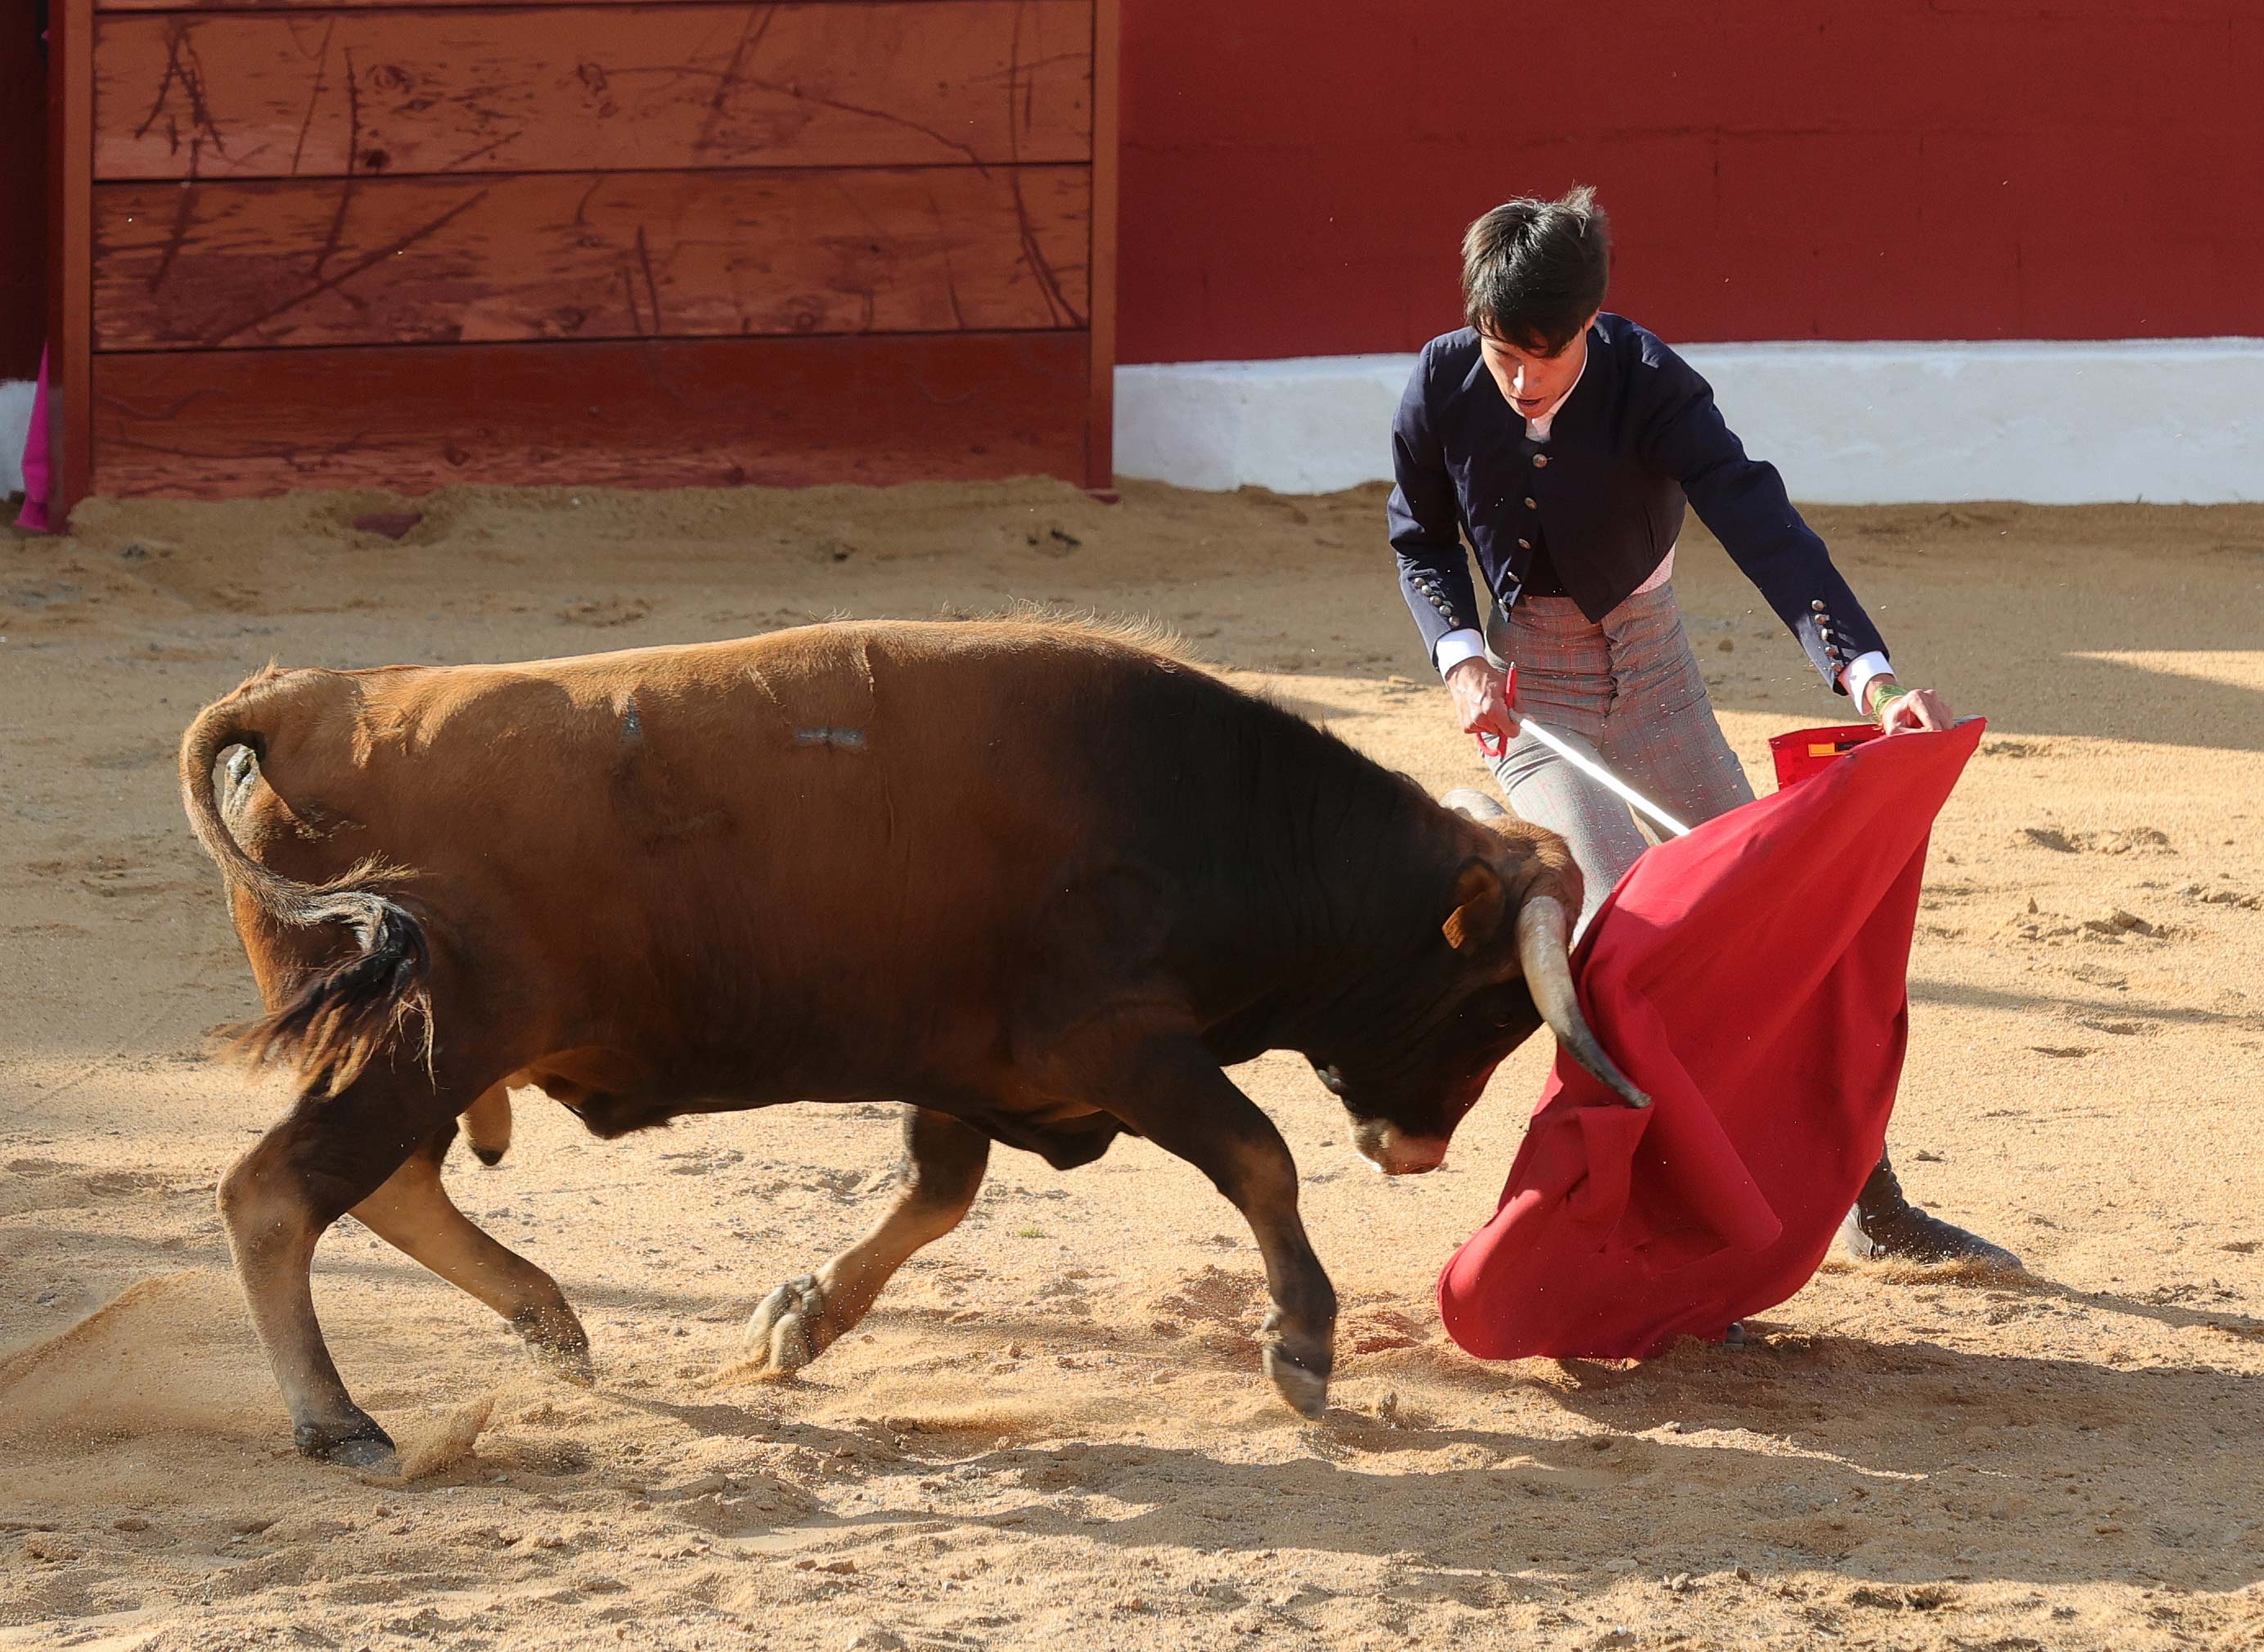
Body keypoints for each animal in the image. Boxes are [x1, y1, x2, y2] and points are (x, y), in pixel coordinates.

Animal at [172, 615, 1630, 1466]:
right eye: (1499, 1003)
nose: (1415, 1146)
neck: (1225, 816)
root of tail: (306, 698)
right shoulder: (1114, 1039)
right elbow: (1257, 1154)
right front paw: (1301, 1346)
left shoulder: (976, 1063)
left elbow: (936, 1191)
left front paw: (796, 1320)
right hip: (431, 1037)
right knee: (277, 1191)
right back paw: (334, 1415)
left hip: (426, 1051)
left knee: (385, 1183)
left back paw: (546, 1320)